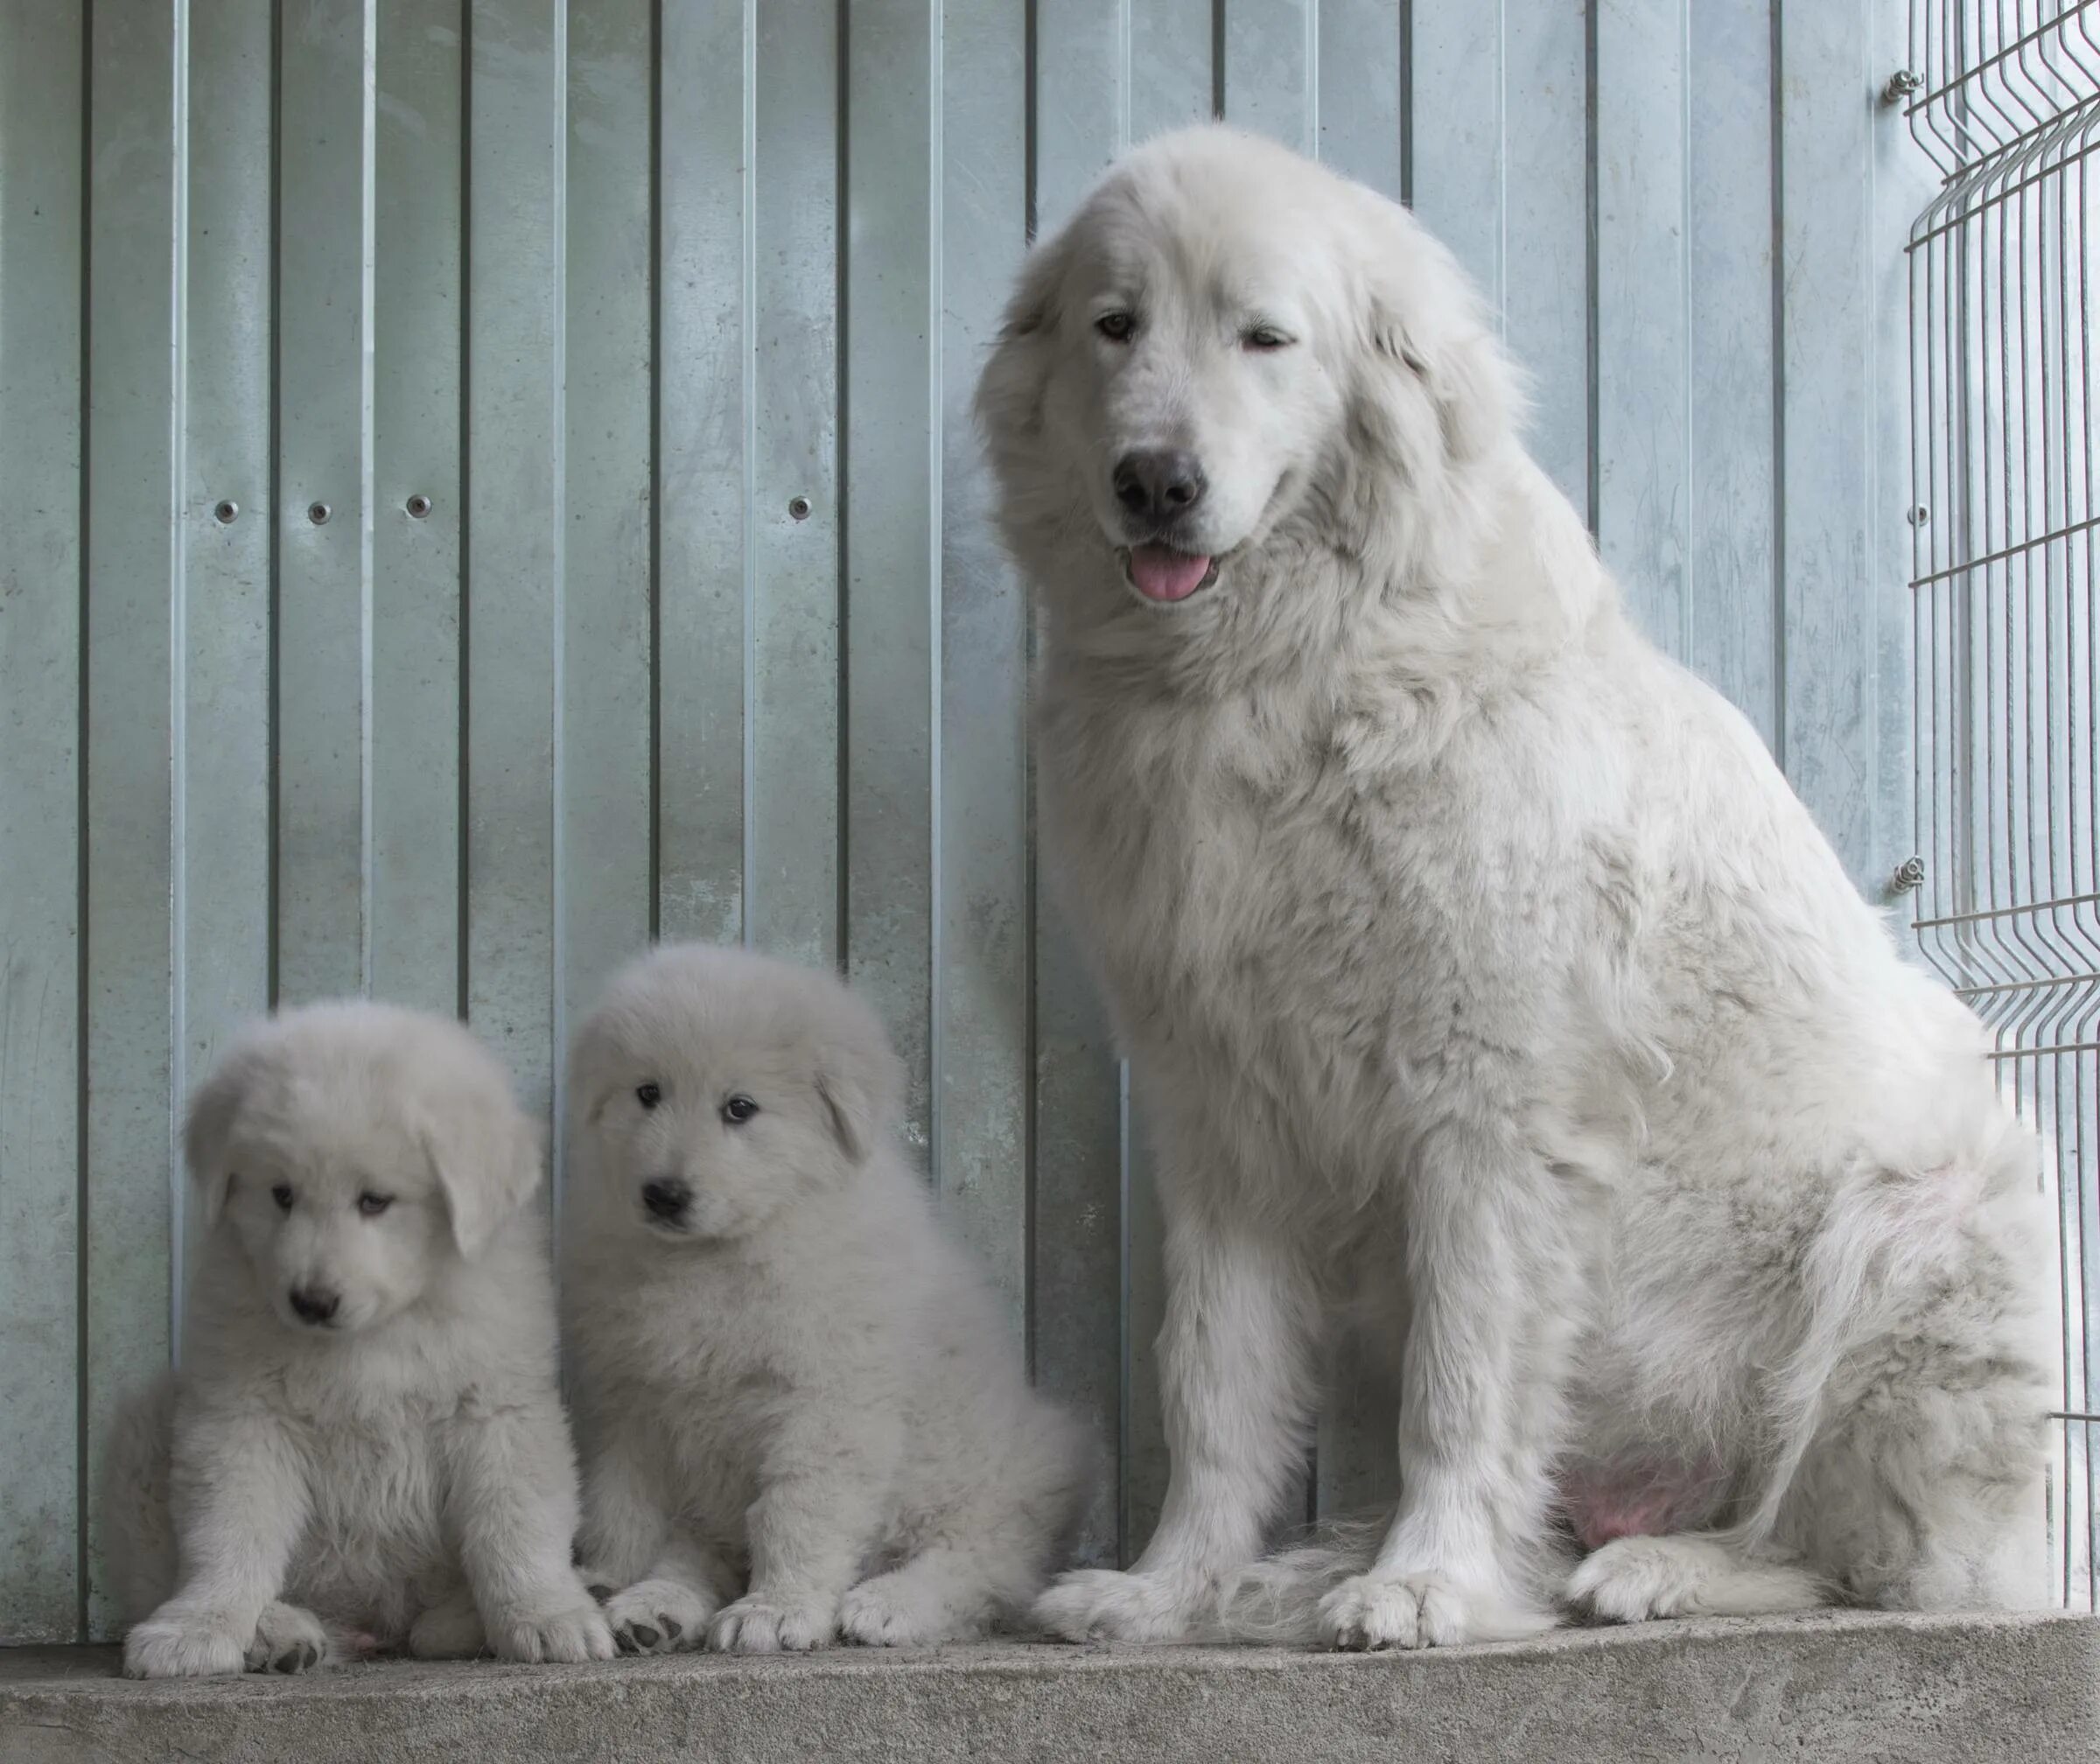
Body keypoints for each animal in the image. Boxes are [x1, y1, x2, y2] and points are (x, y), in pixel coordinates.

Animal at [109, 999, 612, 1671]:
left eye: (375, 1201)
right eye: (282, 1194)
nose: (311, 1302)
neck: (373, 1335)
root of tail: (374, 1629)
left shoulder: (498, 1409)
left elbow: (516, 1524)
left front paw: (549, 1617)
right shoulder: (240, 1415)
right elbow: (229, 1533)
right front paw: (195, 1628)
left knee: (435, 1621)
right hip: (149, 1431)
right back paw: (280, 1635)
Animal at [563, 948, 1083, 1655]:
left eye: (740, 1108)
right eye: (648, 1093)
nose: (664, 1195)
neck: (722, 1253)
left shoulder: (828, 1400)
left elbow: (797, 1511)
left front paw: (777, 1610)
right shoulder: (632, 1404)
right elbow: (622, 1510)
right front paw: (609, 1579)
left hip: (1001, 1481)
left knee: (982, 1567)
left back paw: (890, 1604)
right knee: (697, 1555)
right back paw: (656, 1606)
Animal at [974, 127, 2058, 1655]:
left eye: (1265, 337)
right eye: (1115, 325)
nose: (1157, 481)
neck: (1281, 678)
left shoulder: (1489, 1114)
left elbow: (1460, 1384)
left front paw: (1427, 1586)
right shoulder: (1221, 1124)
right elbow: (1212, 1390)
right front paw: (1168, 1587)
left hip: (1918, 1240)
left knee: (1865, 1560)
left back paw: (1658, 1572)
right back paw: (1297, 1576)